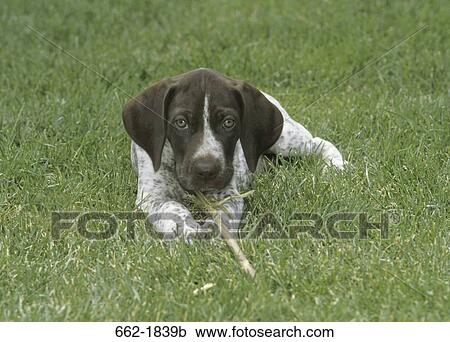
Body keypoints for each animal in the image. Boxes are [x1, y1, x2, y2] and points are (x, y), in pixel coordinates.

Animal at [121, 68, 342, 239]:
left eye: (229, 122)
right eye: (180, 122)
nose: (206, 171)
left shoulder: (228, 195)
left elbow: (224, 215)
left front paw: (213, 231)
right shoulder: (151, 195)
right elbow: (171, 207)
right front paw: (185, 228)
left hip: (285, 140)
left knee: (318, 143)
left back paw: (336, 167)